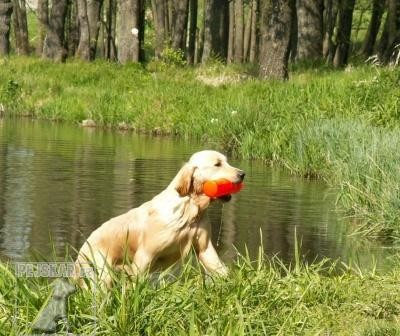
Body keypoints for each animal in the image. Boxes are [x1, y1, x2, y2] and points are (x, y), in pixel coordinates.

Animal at [74, 150, 245, 286]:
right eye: (217, 164)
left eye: (226, 161)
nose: (242, 174)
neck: (190, 209)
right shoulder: (145, 254)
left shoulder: (204, 246)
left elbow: (220, 268)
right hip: (102, 272)